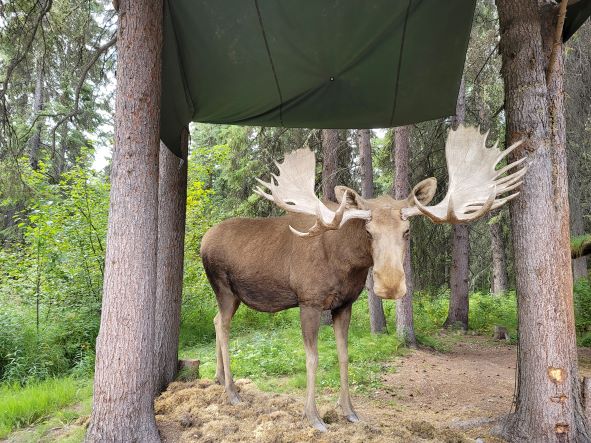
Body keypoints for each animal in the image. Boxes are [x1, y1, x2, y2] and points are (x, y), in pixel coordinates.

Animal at [200, 125, 526, 431]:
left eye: (407, 231)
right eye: (369, 231)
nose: (391, 285)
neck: (347, 265)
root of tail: (203, 241)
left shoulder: (344, 304)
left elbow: (344, 356)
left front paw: (349, 411)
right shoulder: (309, 301)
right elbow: (312, 357)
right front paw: (313, 417)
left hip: (234, 295)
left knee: (215, 321)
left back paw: (218, 379)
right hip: (223, 287)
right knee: (224, 327)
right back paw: (232, 392)